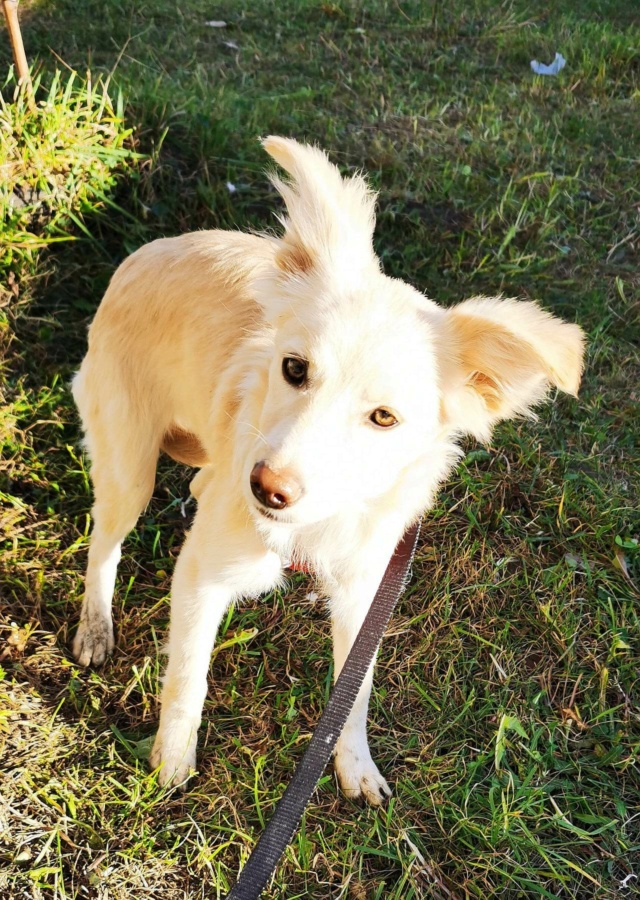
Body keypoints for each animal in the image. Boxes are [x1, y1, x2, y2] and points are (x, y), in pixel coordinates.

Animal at [71, 137, 584, 804]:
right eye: (294, 368)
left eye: (384, 417)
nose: (266, 489)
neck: (317, 524)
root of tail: (143, 253)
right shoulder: (201, 576)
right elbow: (187, 679)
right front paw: (171, 765)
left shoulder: (366, 589)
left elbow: (353, 691)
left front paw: (354, 765)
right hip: (129, 467)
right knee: (103, 543)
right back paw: (95, 625)